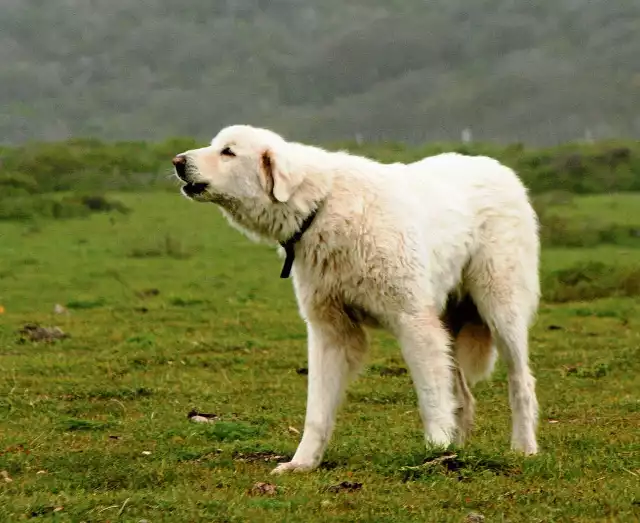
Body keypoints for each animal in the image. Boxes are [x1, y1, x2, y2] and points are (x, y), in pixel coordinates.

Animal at [171, 126, 540, 474]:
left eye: (228, 152)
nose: (177, 161)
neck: (320, 207)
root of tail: (498, 168)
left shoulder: (414, 322)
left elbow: (431, 398)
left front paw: (435, 448)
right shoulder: (330, 331)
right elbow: (317, 410)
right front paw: (302, 463)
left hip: (500, 310)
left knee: (520, 384)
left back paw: (523, 449)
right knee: (463, 396)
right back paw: (458, 452)